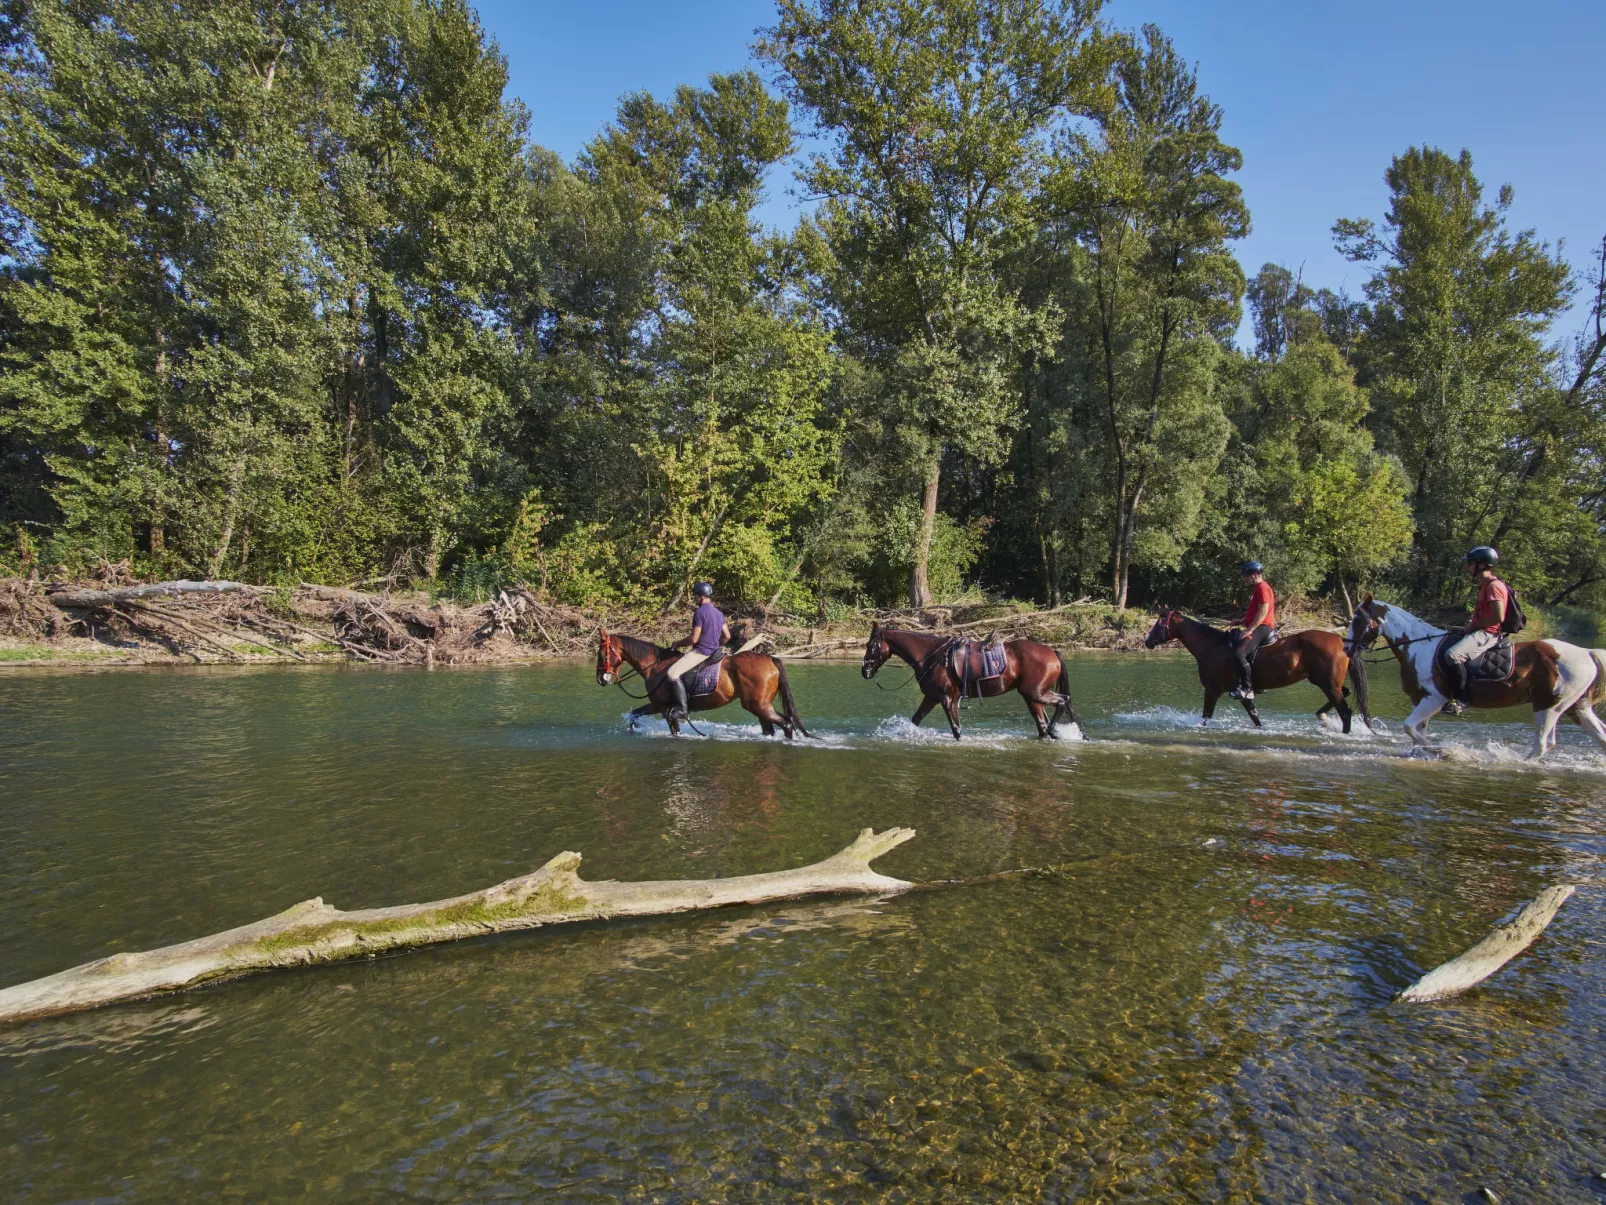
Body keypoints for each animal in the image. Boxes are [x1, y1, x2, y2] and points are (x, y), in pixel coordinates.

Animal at [597, 626, 809, 742]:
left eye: (601, 653)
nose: (600, 679)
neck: (655, 665)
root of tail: (770, 659)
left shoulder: (662, 706)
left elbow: (662, 725)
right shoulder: (664, 707)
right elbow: (635, 716)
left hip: (757, 705)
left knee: (786, 723)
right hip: (760, 706)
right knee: (771, 728)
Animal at [860, 626, 1072, 742]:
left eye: (870, 646)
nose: (865, 671)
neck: (931, 656)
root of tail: (1052, 652)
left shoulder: (947, 699)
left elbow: (956, 729)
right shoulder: (931, 697)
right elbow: (915, 720)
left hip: (1036, 693)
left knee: (1063, 702)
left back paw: (1054, 730)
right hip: (1032, 697)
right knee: (1043, 723)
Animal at [1137, 607, 1361, 732]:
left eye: (1157, 624)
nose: (1147, 641)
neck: (1212, 646)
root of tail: (1341, 640)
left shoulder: (1212, 690)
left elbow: (1205, 717)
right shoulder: (1245, 695)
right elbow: (1256, 718)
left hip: (1327, 683)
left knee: (1345, 712)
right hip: (1327, 682)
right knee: (1346, 693)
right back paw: (1322, 716)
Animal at [1342, 591, 1606, 755]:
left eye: (1356, 620)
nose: (1346, 648)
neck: (1419, 647)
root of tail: (1587, 653)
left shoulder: (1435, 699)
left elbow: (1409, 728)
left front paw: (1442, 750)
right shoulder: (1419, 699)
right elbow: (1415, 731)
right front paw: (1425, 752)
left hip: (1548, 706)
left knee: (1543, 744)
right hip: (1576, 708)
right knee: (1600, 737)